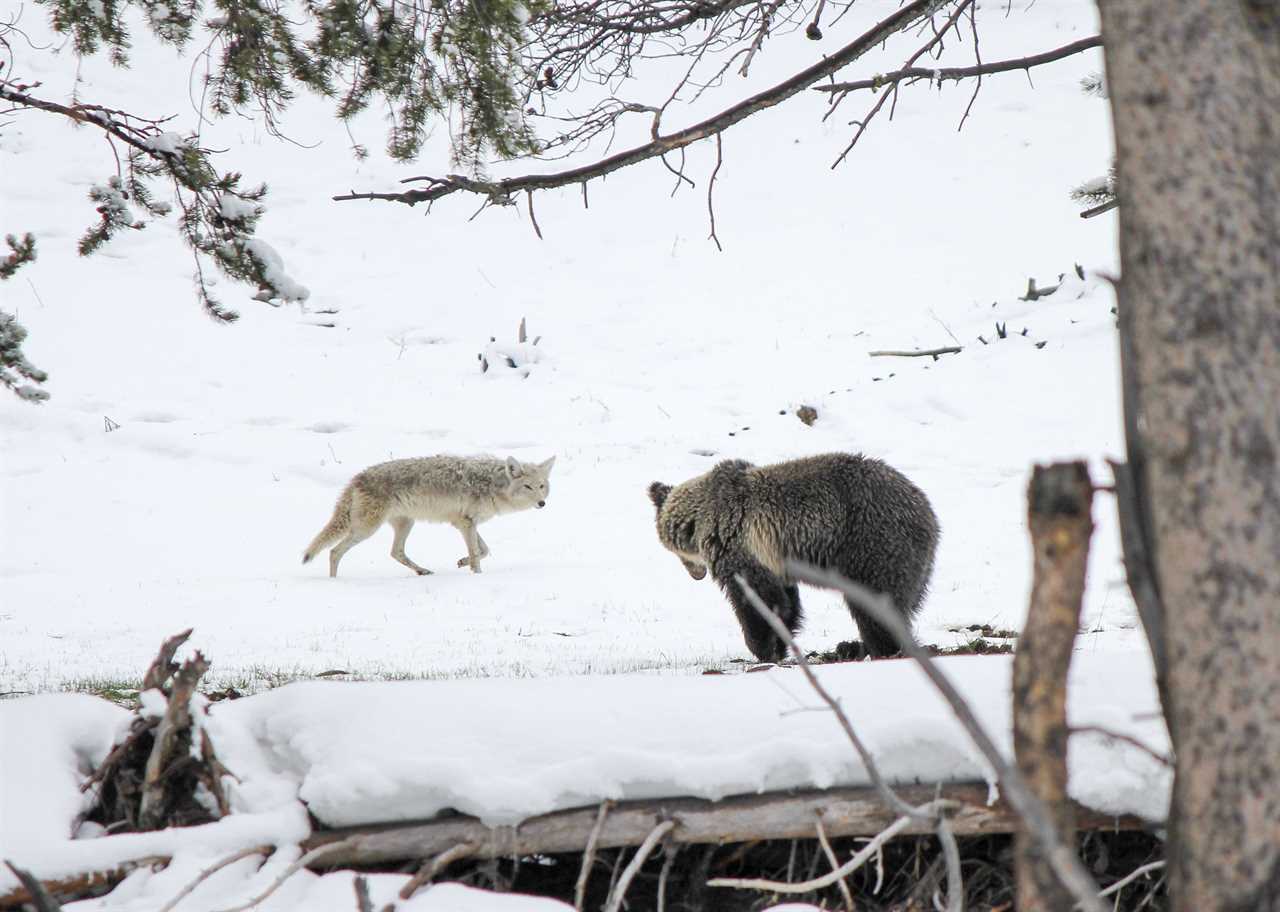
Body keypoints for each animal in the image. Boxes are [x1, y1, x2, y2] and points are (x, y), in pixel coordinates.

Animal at [303, 455, 556, 577]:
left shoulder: (466, 523)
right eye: (527, 487)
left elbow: (483, 550)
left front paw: (463, 562)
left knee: (395, 552)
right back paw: (335, 582)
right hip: (366, 529)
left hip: (405, 523)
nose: (542, 503)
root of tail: (357, 477)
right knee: (334, 551)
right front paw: (477, 575)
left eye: (542, 486)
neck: (491, 485)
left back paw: (421, 571)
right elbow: (477, 553)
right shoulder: (465, 523)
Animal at [648, 453, 939, 662]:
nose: (696, 574)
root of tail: (927, 513)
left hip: (871, 540)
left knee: (875, 602)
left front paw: (763, 648)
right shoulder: (774, 559)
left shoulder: (740, 546)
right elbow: (785, 601)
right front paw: (780, 643)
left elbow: (755, 600)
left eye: (677, 553)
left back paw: (882, 648)